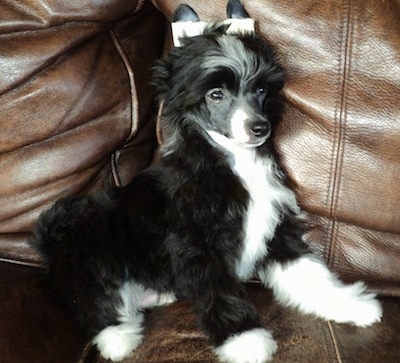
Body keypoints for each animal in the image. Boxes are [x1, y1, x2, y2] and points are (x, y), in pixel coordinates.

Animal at [31, 1, 382, 362]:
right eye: (216, 95)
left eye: (261, 90)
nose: (260, 127)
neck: (236, 162)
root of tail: (52, 239)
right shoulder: (197, 246)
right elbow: (220, 291)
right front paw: (245, 339)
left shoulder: (277, 231)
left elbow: (310, 274)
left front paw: (348, 304)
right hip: (95, 254)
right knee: (94, 299)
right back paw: (118, 337)